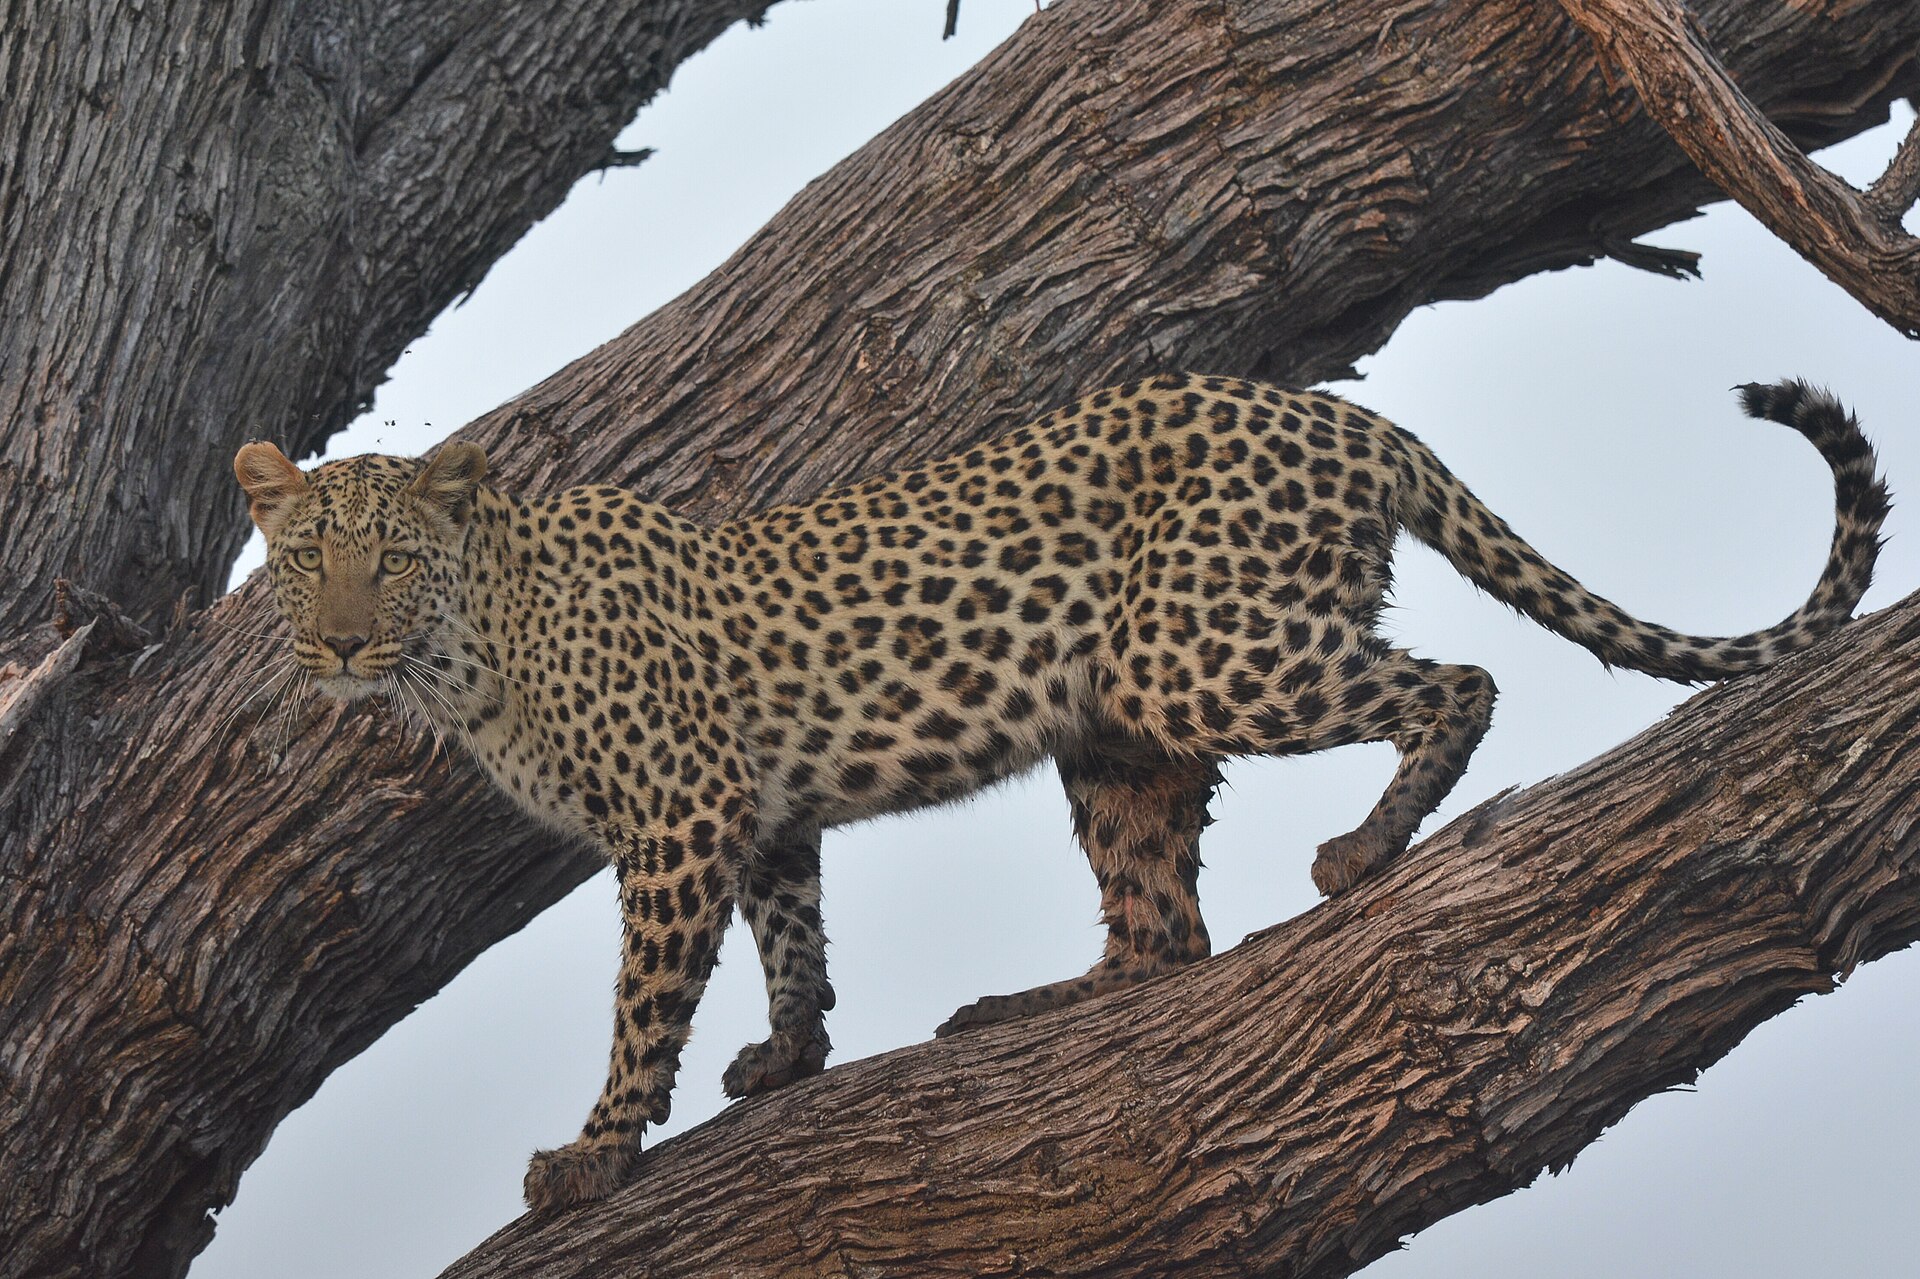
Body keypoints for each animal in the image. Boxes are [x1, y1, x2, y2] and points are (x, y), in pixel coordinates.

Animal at [232, 373, 1886, 1213]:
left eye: (392, 556)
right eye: (308, 557)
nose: (341, 640)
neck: (464, 650)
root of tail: (1348, 415)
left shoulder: (679, 813)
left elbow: (646, 999)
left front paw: (594, 1148)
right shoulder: (753, 809)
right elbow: (792, 932)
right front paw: (793, 1054)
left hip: (1198, 650)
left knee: (1456, 681)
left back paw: (1363, 849)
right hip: (1117, 723)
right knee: (1159, 932)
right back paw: (1028, 1005)